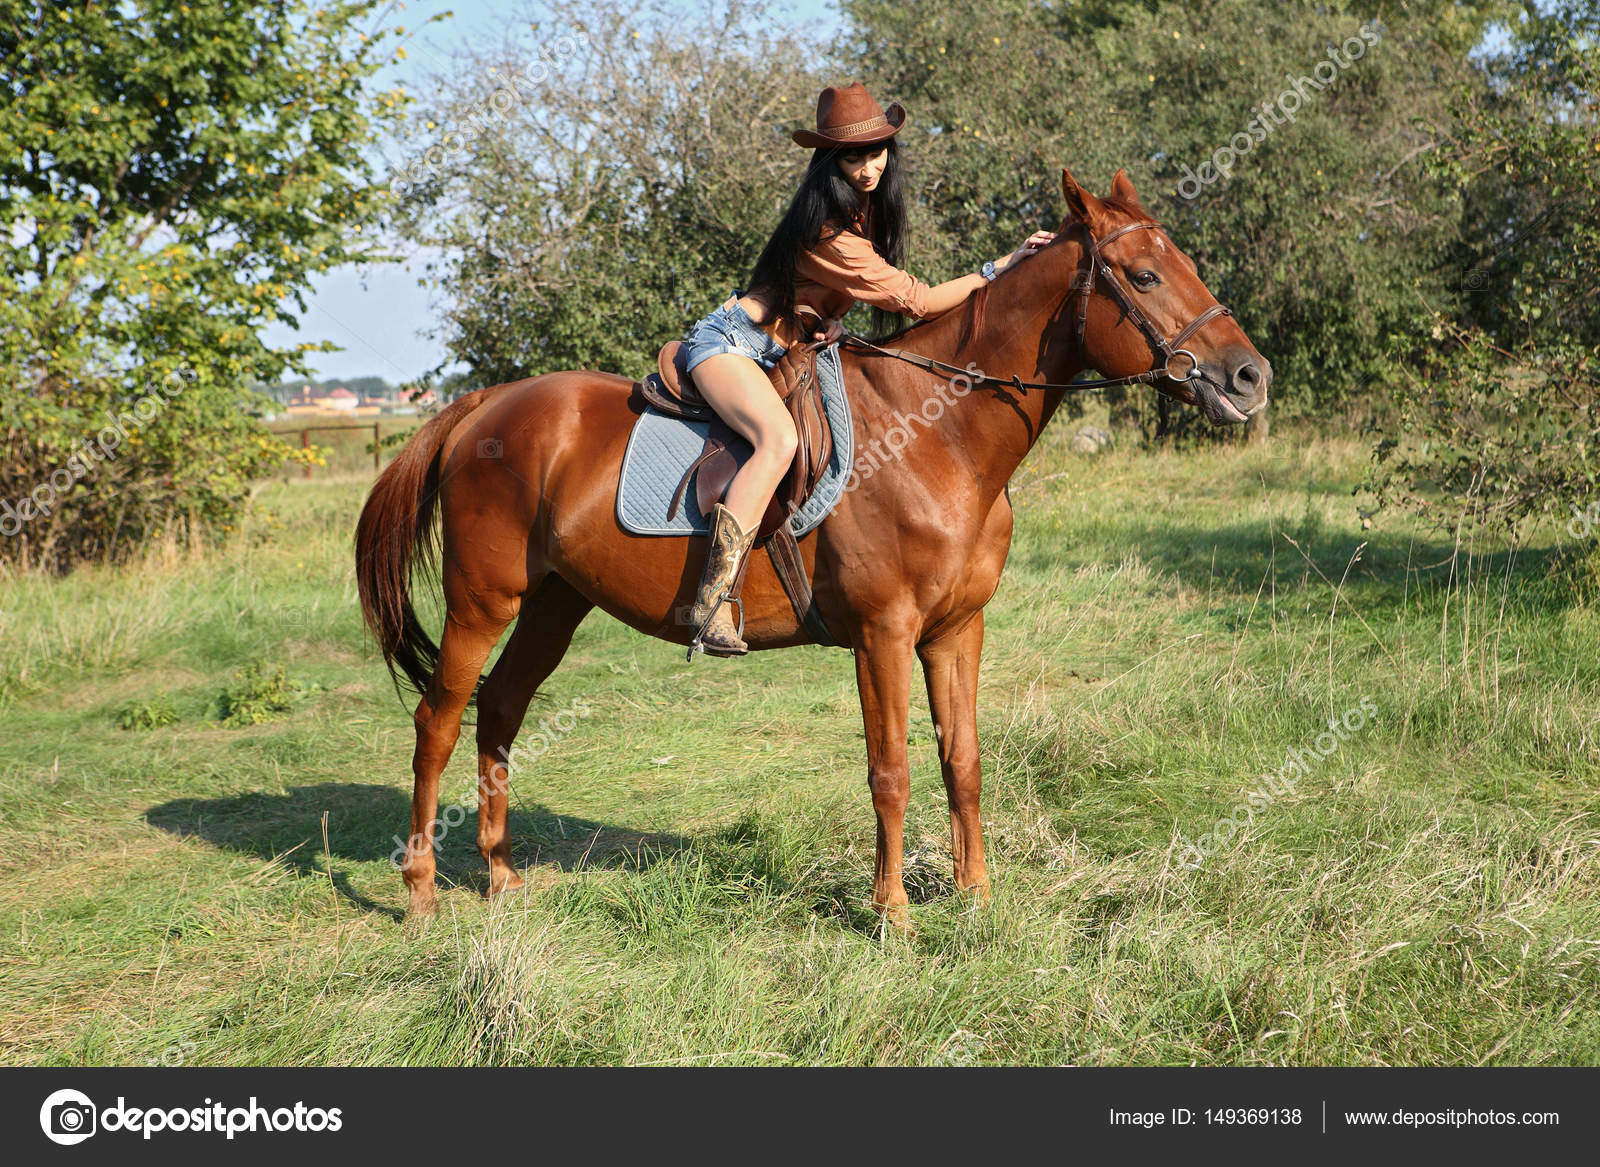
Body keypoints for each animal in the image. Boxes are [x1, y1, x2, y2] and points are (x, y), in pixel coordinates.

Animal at [356, 168, 1267, 922]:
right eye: (1143, 276)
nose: (1249, 377)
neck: (939, 433)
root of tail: (484, 405)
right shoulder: (883, 634)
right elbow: (890, 771)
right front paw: (893, 913)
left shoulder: (956, 631)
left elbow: (964, 761)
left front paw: (976, 895)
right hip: (484, 600)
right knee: (439, 720)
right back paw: (421, 892)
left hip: (555, 602)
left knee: (502, 707)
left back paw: (503, 876)